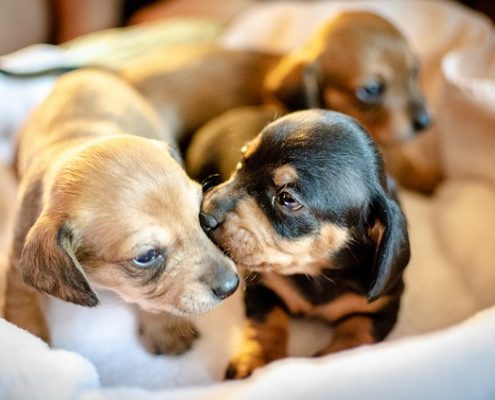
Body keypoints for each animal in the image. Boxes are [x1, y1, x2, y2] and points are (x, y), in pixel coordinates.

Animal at [3, 69, 240, 354]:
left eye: (199, 215)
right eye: (146, 256)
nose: (232, 286)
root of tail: (87, 71)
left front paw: (164, 328)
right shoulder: (16, 264)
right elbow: (22, 309)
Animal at [198, 111, 410, 380]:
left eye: (287, 199)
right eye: (241, 162)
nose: (203, 215)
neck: (317, 272)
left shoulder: (382, 308)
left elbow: (357, 334)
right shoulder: (263, 287)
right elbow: (267, 323)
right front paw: (256, 360)